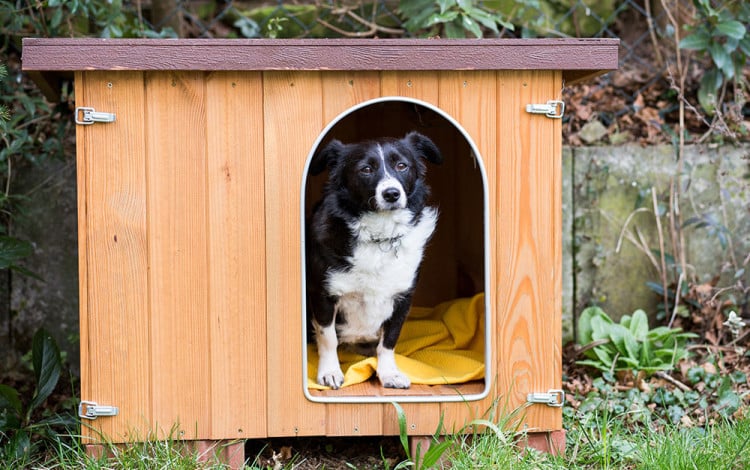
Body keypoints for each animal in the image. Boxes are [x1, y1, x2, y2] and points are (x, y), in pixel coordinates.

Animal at [308, 132, 444, 390]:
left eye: (402, 166)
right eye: (366, 169)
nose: (391, 194)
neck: (380, 235)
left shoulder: (402, 298)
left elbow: (389, 340)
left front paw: (388, 373)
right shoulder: (323, 294)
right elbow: (328, 337)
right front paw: (330, 371)